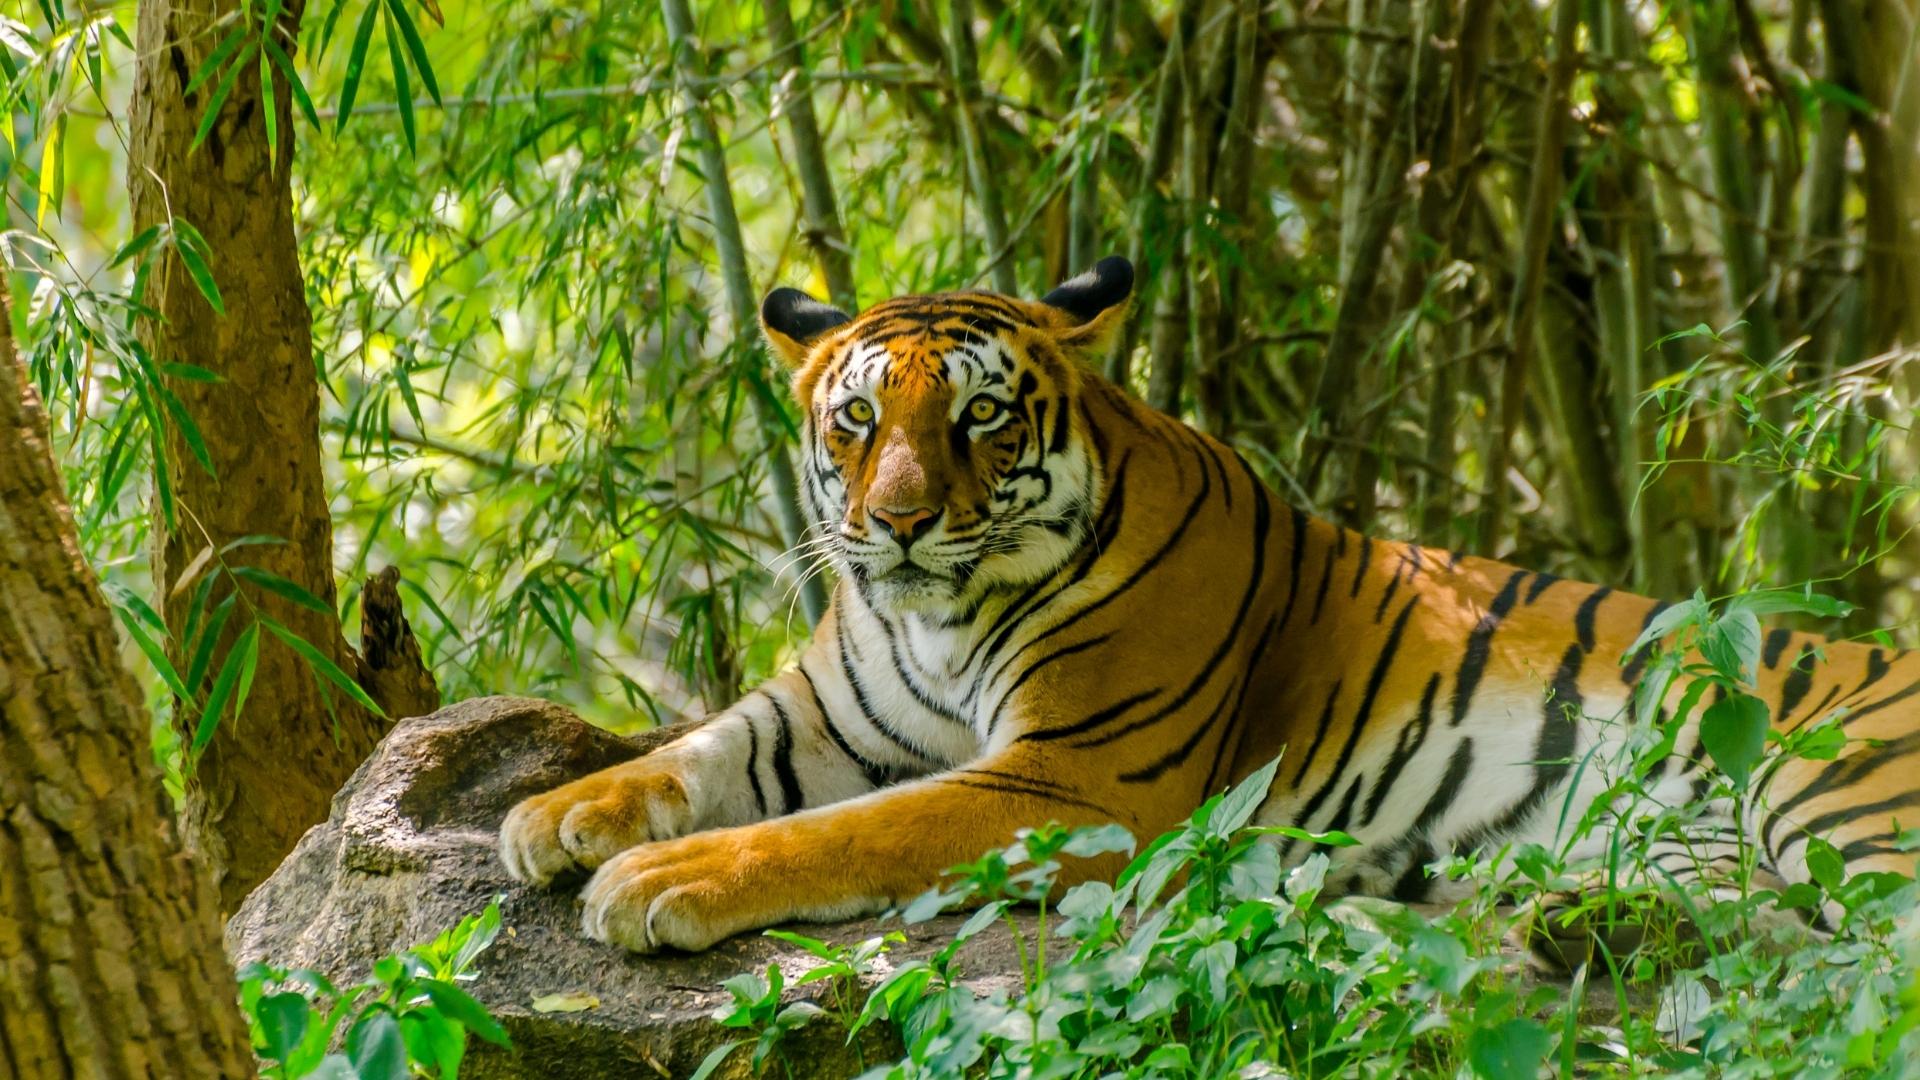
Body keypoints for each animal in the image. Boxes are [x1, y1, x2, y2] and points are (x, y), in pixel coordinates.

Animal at [499, 259, 1920, 949]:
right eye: (856, 420)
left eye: (978, 417)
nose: (894, 520)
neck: (932, 617)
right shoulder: (825, 713)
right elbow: (699, 749)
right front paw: (553, 816)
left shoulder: (1074, 780)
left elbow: (842, 832)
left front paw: (654, 878)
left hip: (1831, 794)